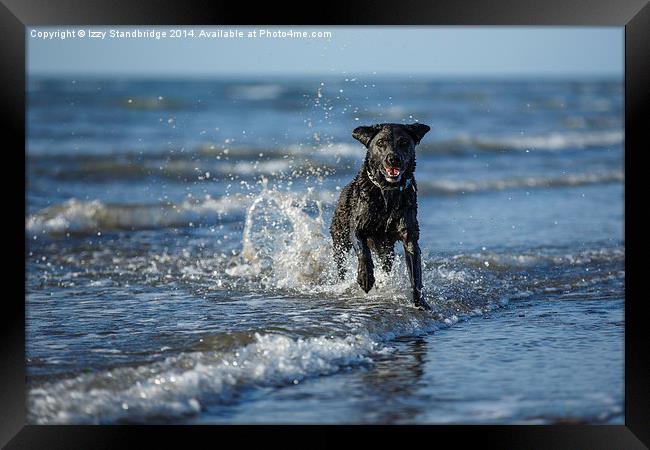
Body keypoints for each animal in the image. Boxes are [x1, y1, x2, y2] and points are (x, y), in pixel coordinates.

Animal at [330, 122, 430, 310]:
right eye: (381, 143)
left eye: (404, 142)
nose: (393, 158)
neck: (387, 192)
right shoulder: (357, 227)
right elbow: (363, 251)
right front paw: (365, 278)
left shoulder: (410, 235)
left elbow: (415, 271)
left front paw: (420, 302)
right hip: (339, 238)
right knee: (340, 263)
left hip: (385, 249)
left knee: (386, 263)